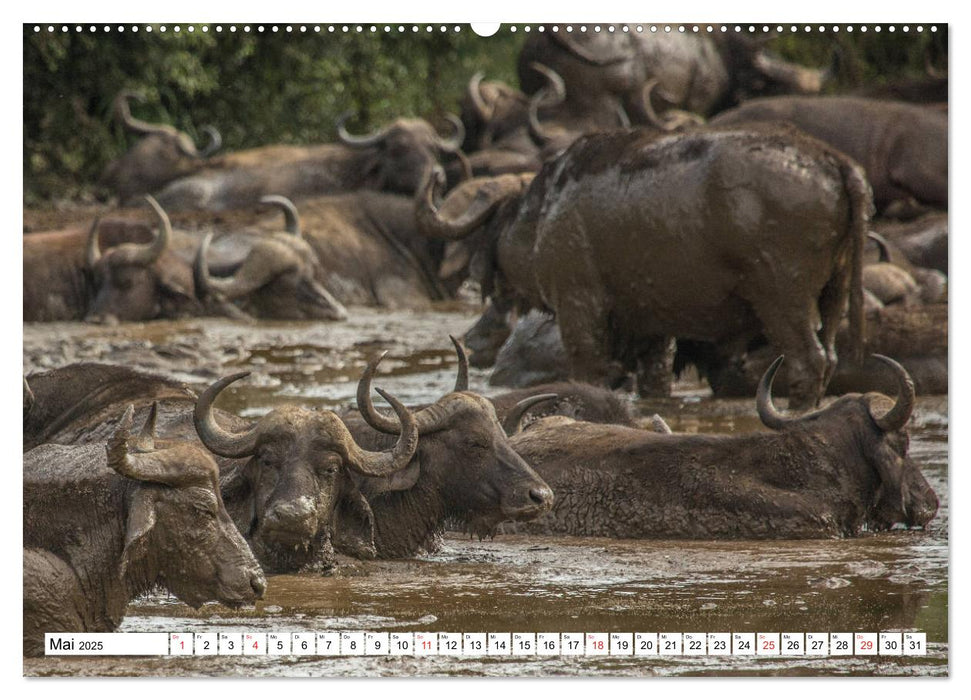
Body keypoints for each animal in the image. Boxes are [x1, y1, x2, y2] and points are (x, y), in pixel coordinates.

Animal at [420, 124, 872, 410]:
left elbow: (587, 368)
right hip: (834, 293)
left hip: (782, 301)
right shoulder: (654, 327)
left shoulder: (579, 308)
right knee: (829, 358)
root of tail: (834, 161)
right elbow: (655, 380)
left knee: (808, 362)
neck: (544, 211)